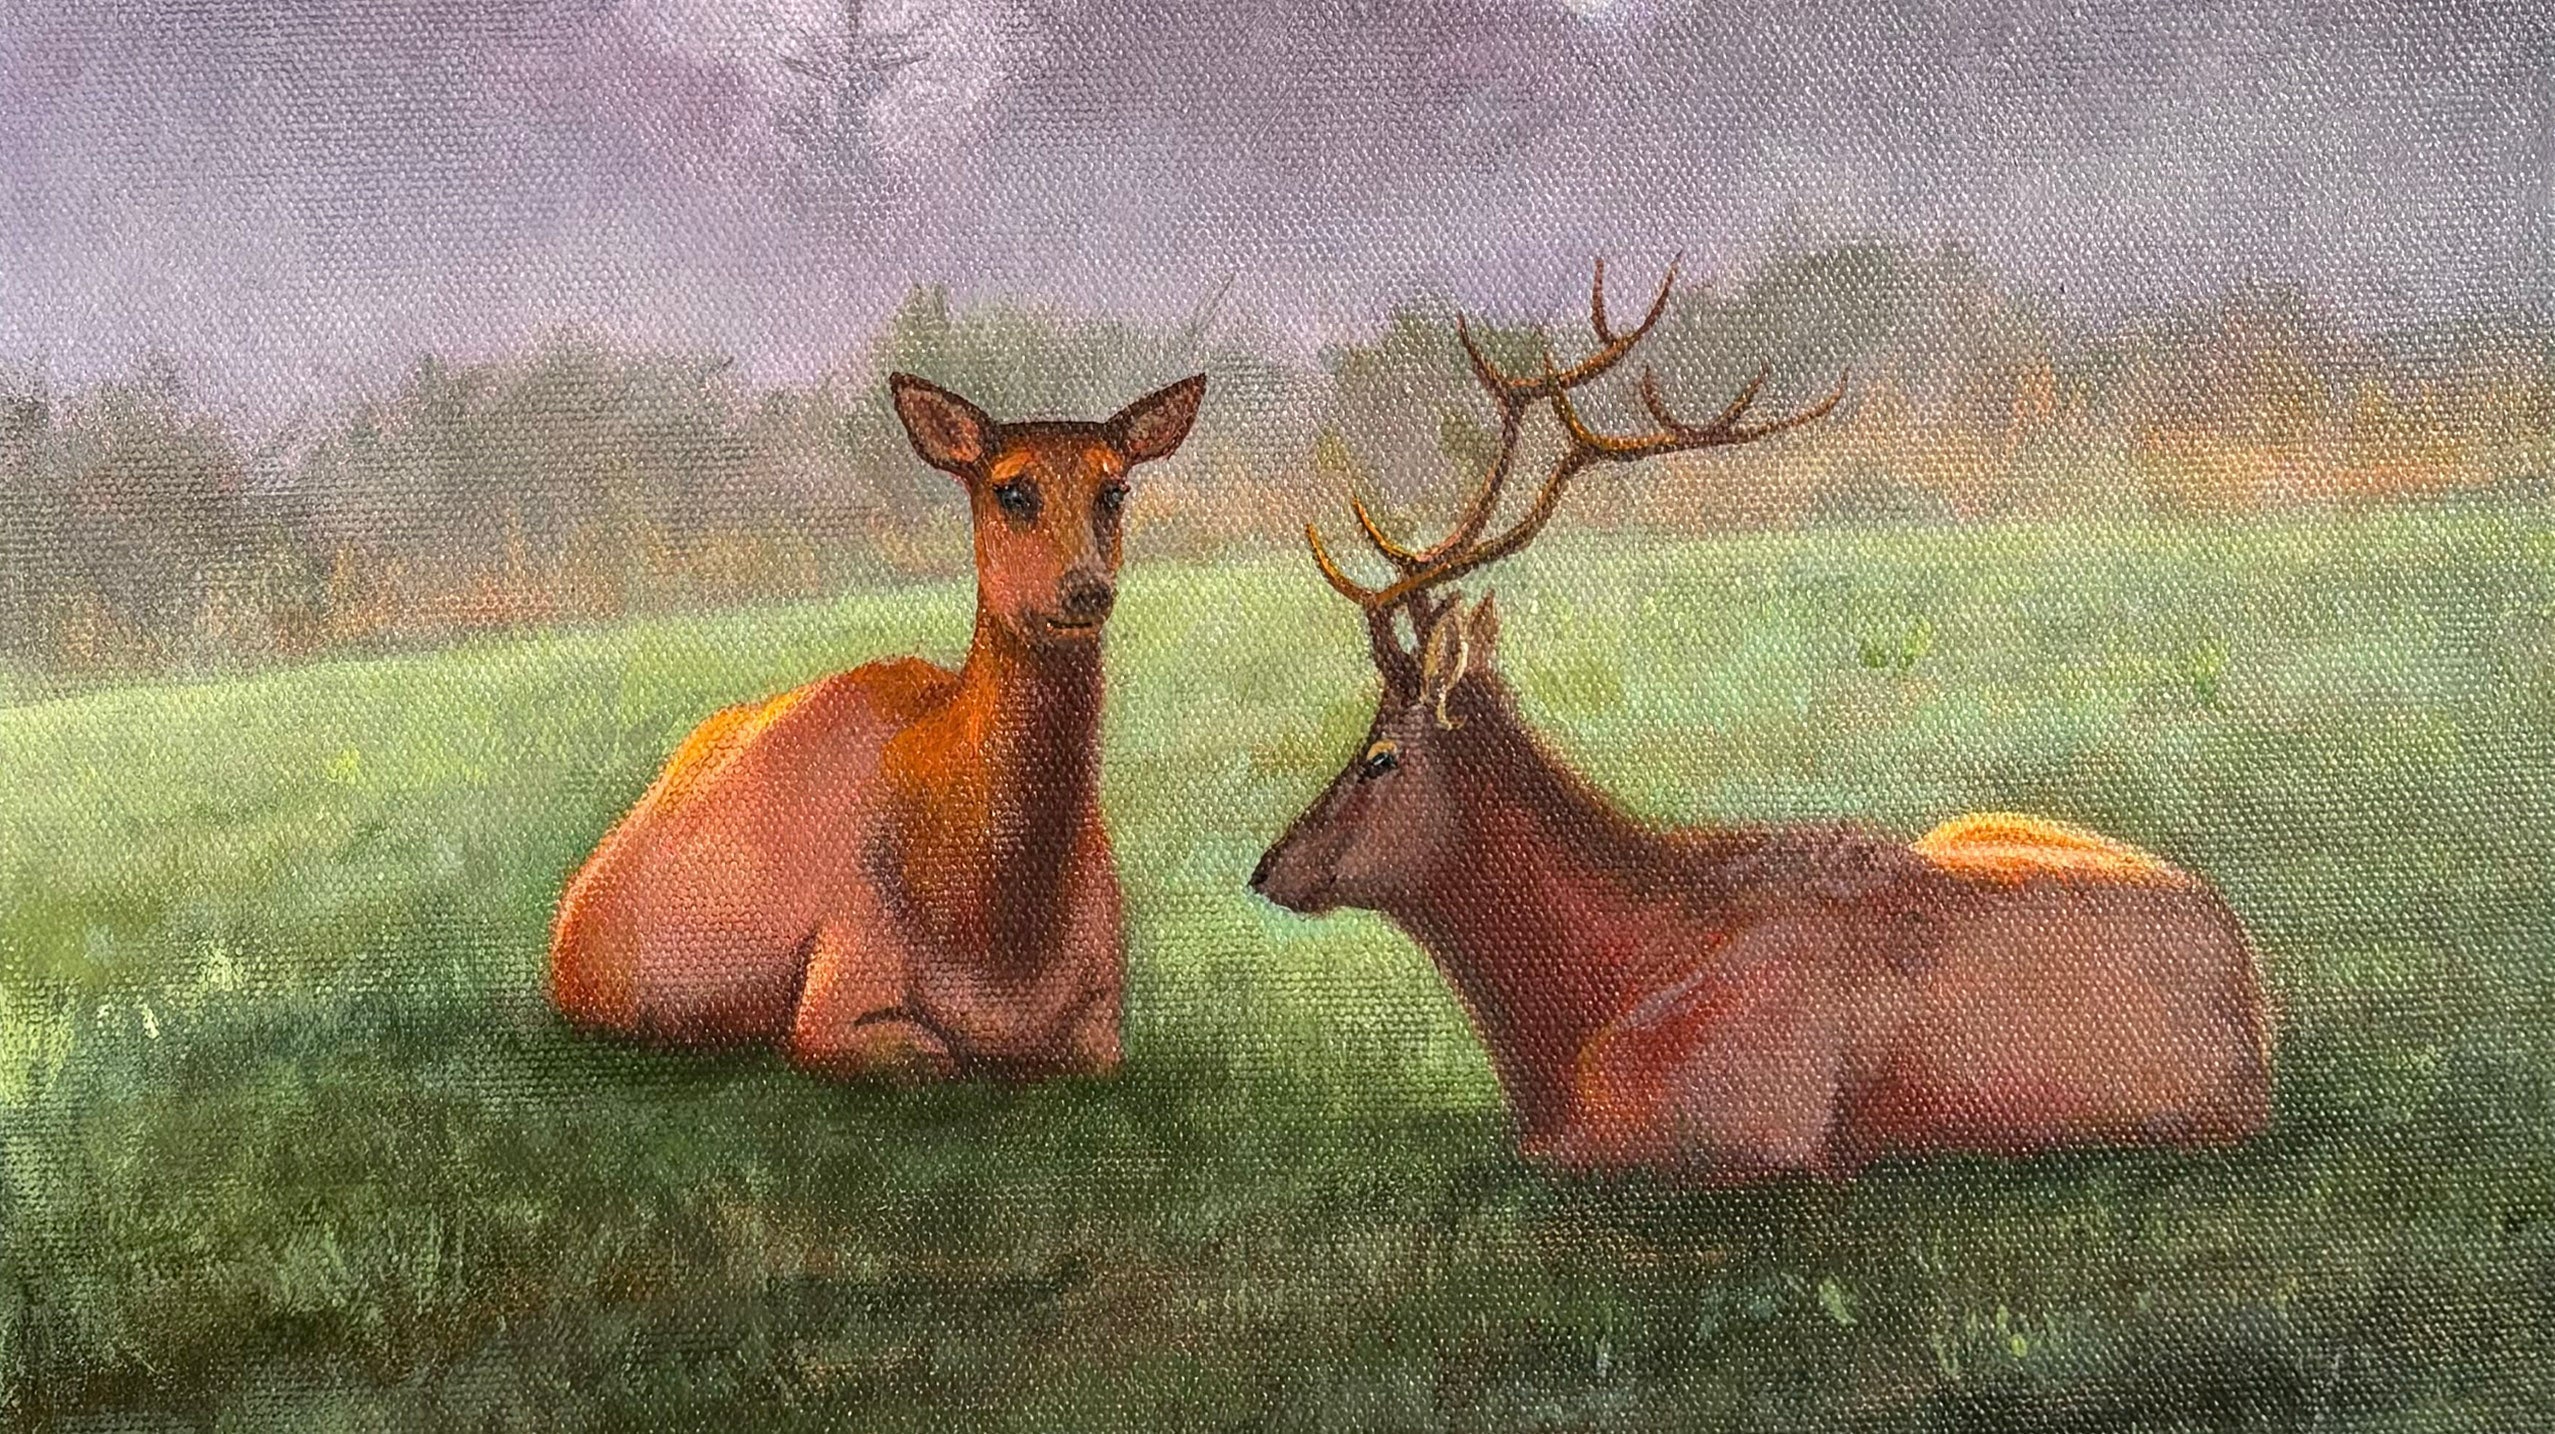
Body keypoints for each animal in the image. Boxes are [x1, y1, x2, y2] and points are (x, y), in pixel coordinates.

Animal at [550, 371, 1207, 1080]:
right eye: (1012, 490)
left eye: (1114, 490)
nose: (1086, 588)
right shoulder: (835, 992)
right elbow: (940, 1058)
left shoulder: (1103, 1019)